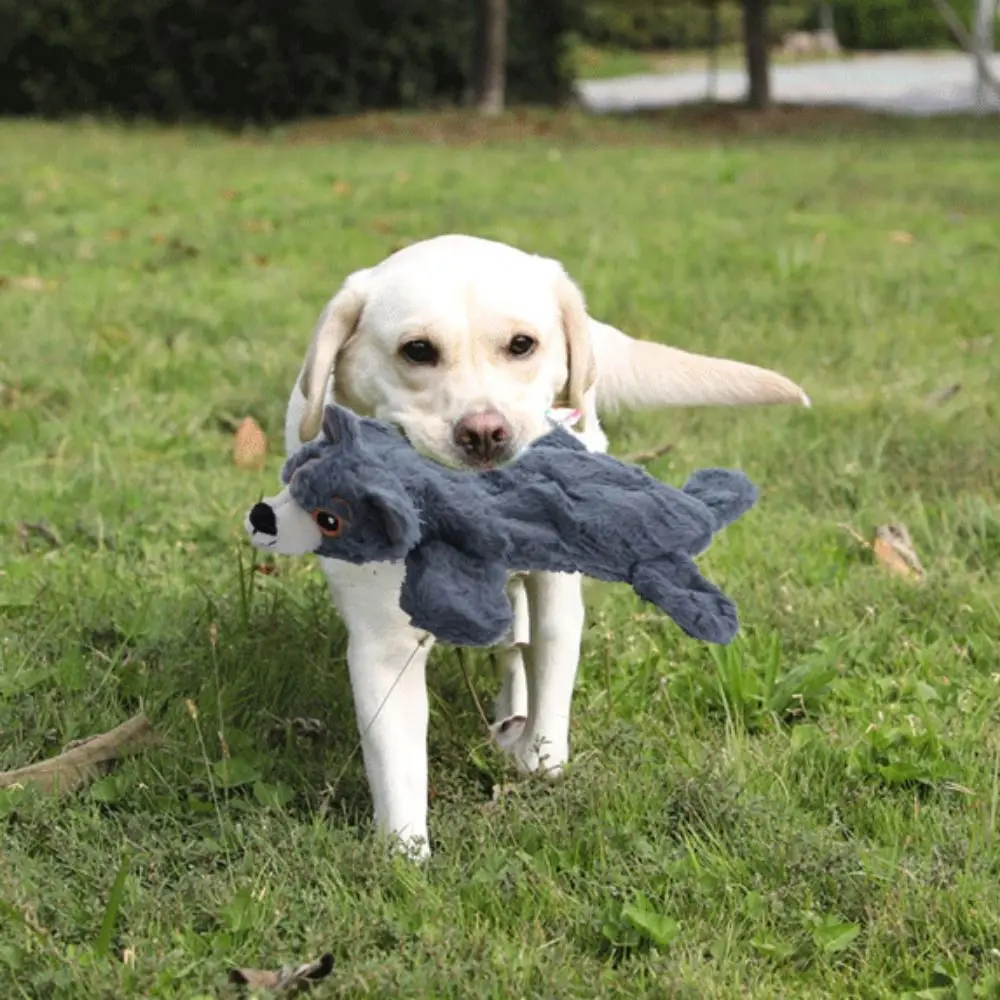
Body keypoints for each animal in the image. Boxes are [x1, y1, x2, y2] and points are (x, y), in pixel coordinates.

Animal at [282, 232, 812, 852]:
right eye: (417, 350)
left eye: (521, 345)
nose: (485, 433)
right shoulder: (382, 643)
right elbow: (398, 765)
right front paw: (404, 857)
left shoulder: (556, 589)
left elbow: (551, 668)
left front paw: (542, 757)